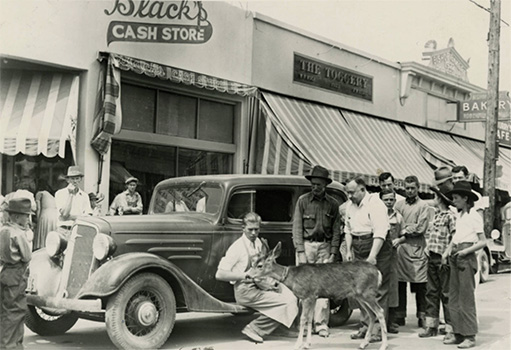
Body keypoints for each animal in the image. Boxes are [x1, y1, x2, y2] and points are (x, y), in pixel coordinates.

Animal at [254, 242, 390, 350]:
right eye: (254, 263)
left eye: (259, 265)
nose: (249, 275)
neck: (292, 278)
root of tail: (378, 272)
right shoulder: (313, 296)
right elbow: (309, 319)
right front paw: (307, 344)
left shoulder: (307, 295)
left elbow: (303, 319)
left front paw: (298, 344)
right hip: (360, 296)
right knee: (372, 314)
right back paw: (363, 344)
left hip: (367, 293)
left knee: (380, 311)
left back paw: (383, 345)